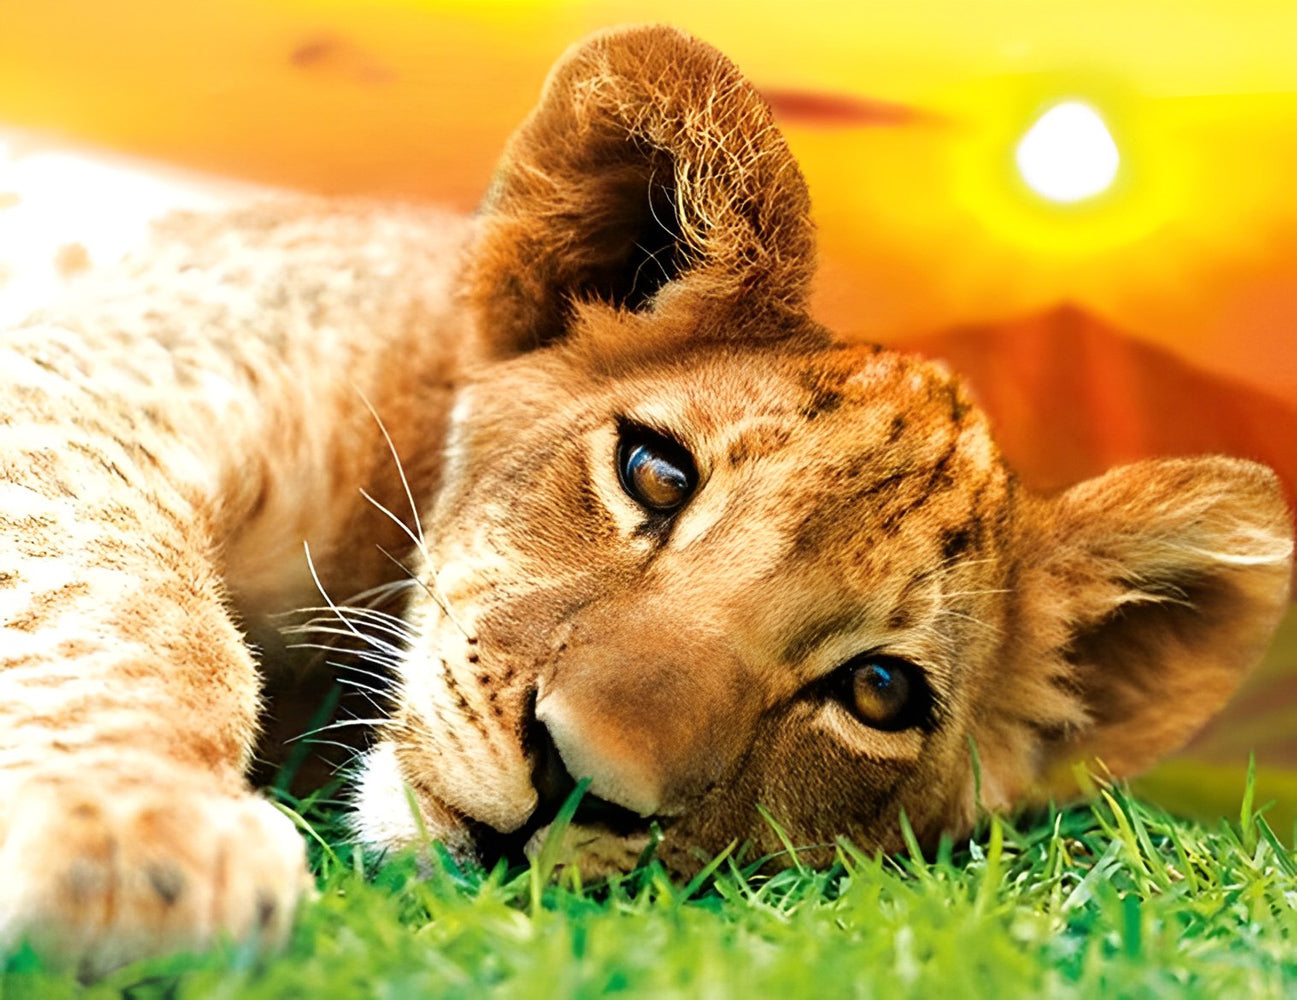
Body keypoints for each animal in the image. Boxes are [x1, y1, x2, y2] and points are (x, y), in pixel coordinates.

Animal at [0, 24, 1290, 971]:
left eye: (877, 691)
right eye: (654, 473)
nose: (576, 782)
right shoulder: (87, 371)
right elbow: (128, 603)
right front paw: (132, 840)